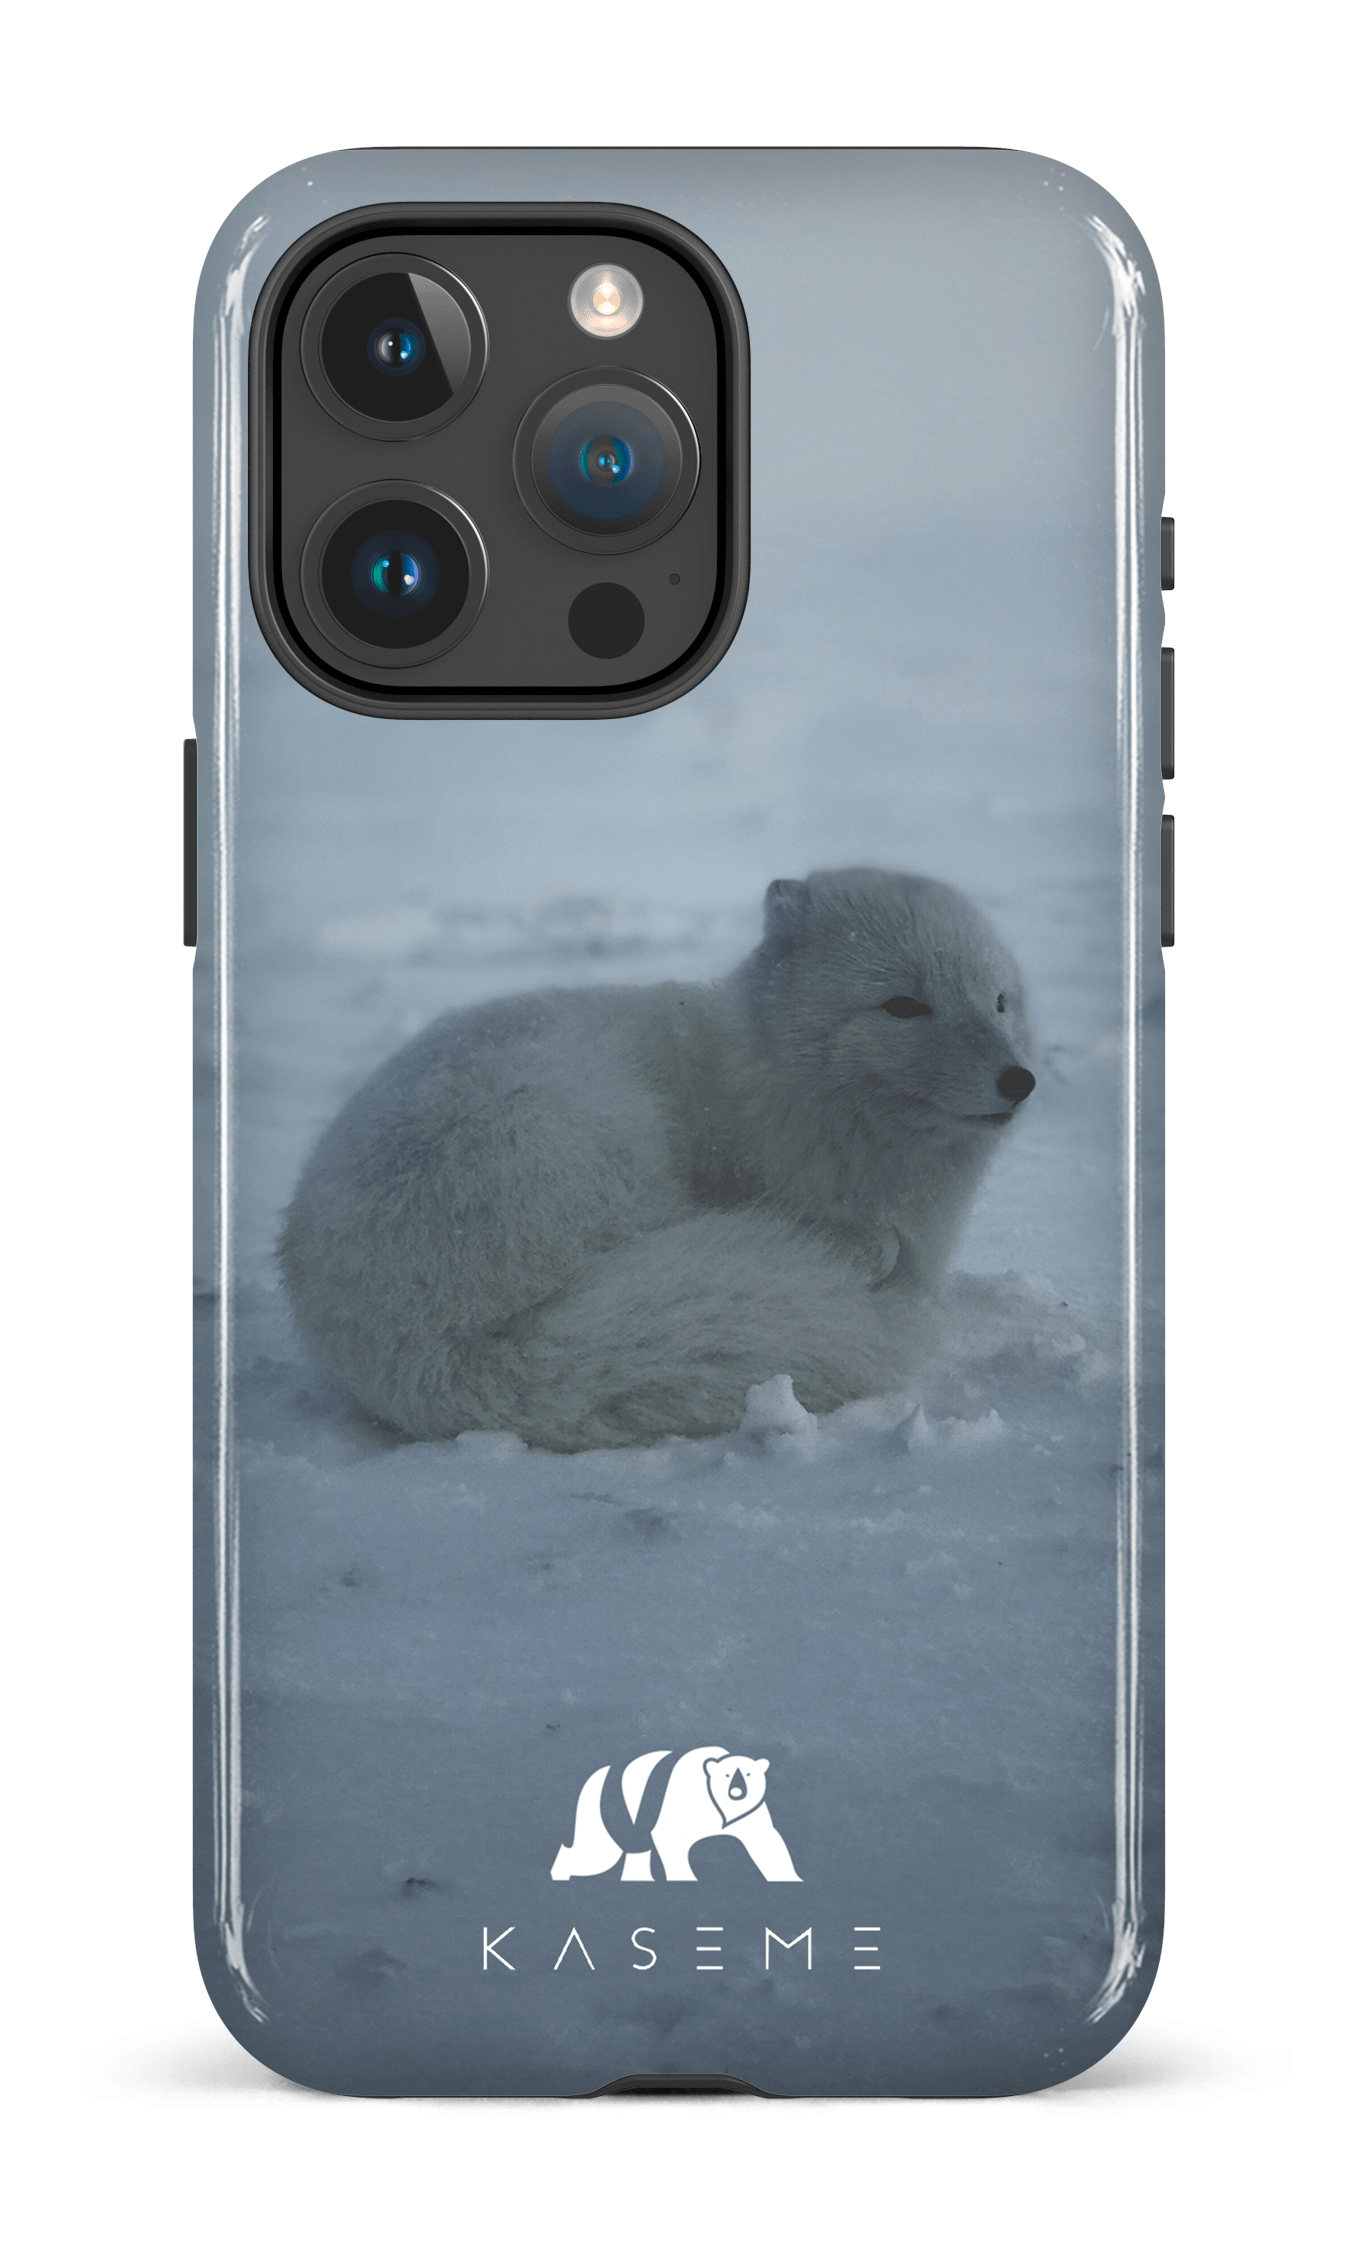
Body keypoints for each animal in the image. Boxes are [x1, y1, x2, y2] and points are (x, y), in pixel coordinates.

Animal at [280, 868, 1035, 1450]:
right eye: (902, 1005)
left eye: (998, 1000)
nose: (1019, 1079)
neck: (770, 1082)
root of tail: (432, 1351)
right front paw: (865, 1250)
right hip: (583, 1130)